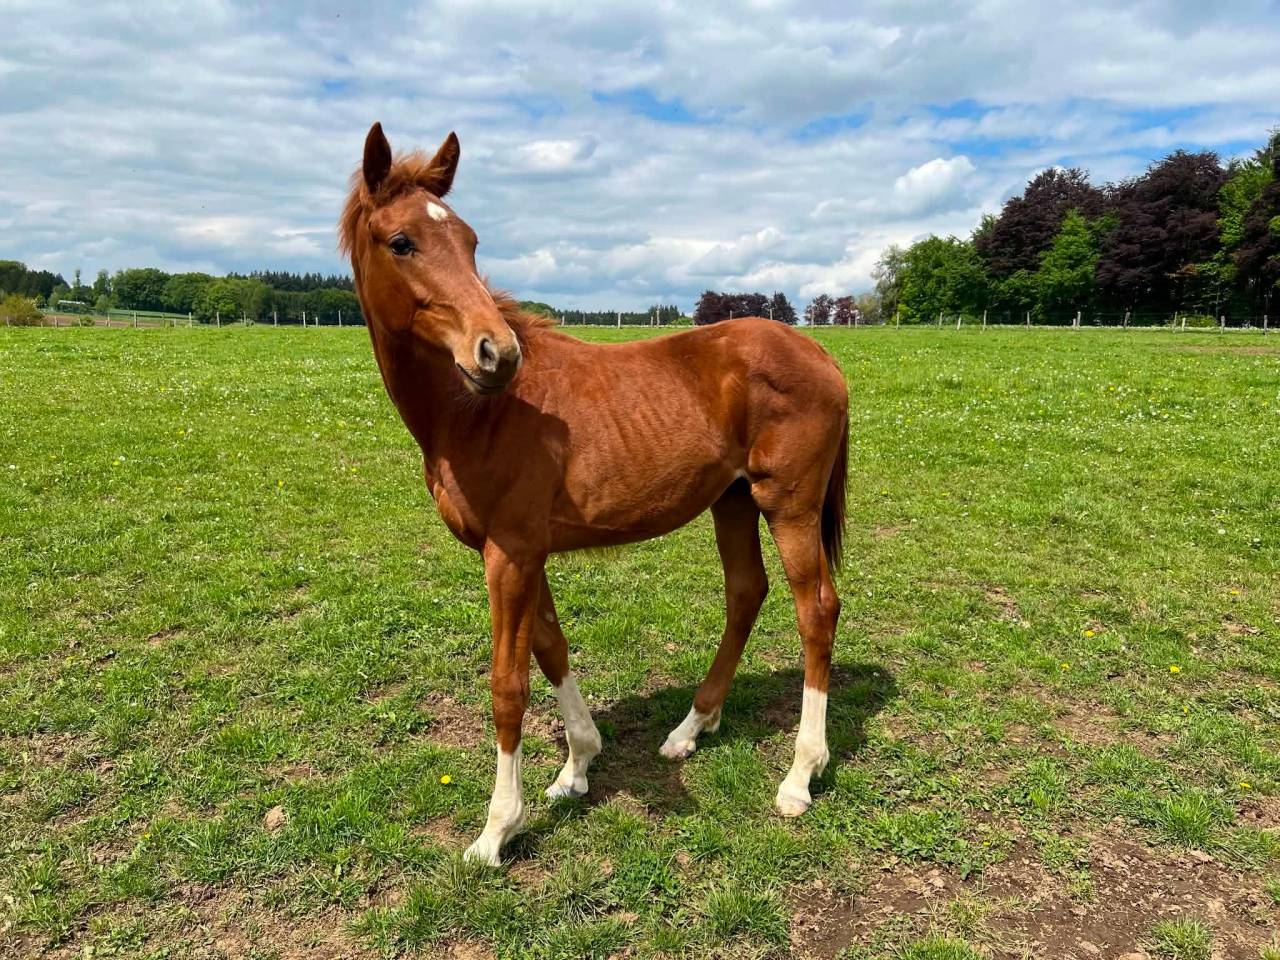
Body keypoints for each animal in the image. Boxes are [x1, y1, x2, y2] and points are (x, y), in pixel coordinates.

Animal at [339, 123, 849, 865]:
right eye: (401, 241)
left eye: (470, 241)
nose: (498, 353)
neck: (478, 411)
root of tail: (822, 355)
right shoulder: (526, 553)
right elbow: (551, 650)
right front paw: (576, 767)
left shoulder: (510, 555)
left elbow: (508, 684)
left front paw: (497, 830)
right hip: (732, 501)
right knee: (745, 593)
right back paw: (691, 728)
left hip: (789, 505)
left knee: (816, 610)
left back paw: (800, 776)